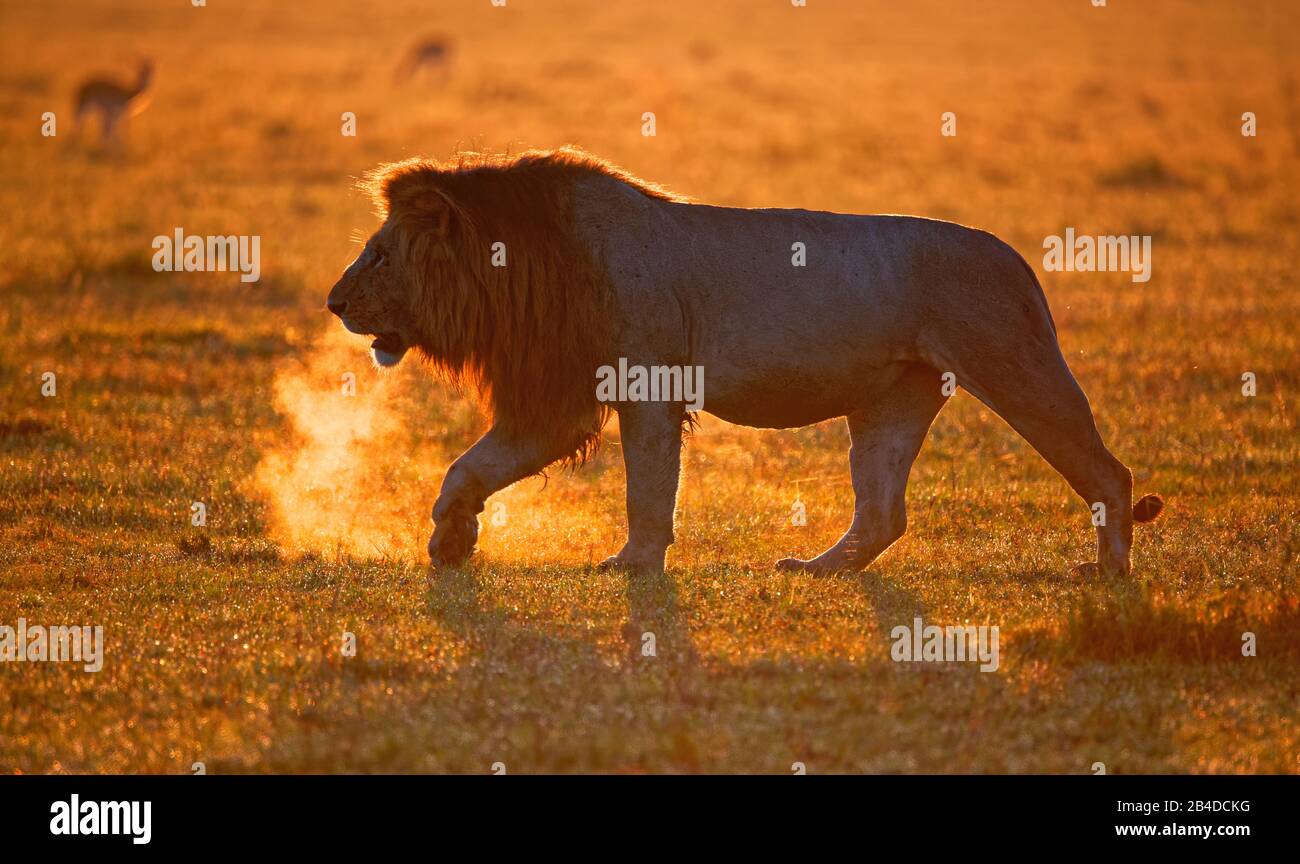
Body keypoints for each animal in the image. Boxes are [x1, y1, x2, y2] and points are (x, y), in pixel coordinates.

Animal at [330, 148, 1164, 576]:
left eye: (378, 255)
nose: (334, 304)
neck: (517, 265)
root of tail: (1014, 255)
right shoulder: (560, 399)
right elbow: (469, 466)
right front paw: (449, 541)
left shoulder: (647, 385)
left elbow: (646, 492)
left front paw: (633, 565)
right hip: (892, 401)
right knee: (883, 512)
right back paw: (818, 569)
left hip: (1018, 367)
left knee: (1108, 473)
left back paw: (1108, 572)